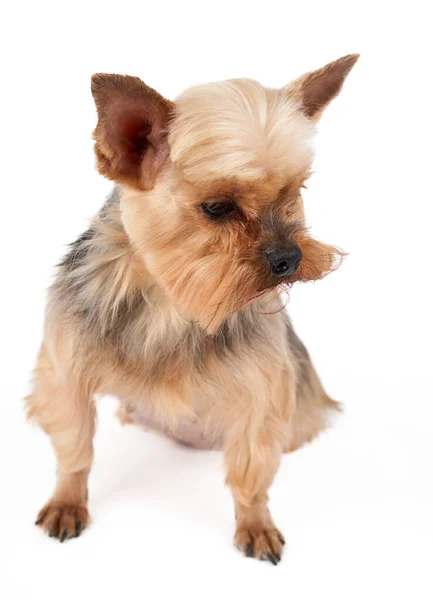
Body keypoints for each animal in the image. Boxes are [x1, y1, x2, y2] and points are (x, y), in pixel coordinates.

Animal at [26, 54, 358, 564]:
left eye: (293, 192)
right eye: (217, 207)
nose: (290, 257)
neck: (174, 303)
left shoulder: (261, 395)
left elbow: (252, 471)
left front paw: (255, 522)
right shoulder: (65, 371)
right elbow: (74, 448)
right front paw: (67, 502)